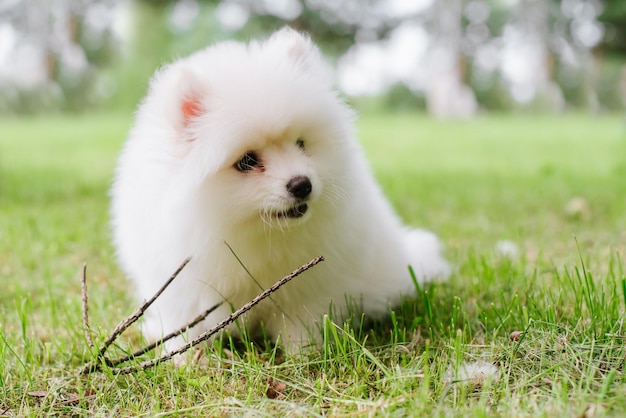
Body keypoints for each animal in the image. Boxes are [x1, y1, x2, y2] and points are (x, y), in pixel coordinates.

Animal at [109, 27, 446, 352]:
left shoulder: (307, 289)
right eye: (247, 161)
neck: (254, 232)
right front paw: (186, 357)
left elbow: (301, 323)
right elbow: (186, 325)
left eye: (301, 144)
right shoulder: (183, 288)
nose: (302, 184)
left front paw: (305, 354)